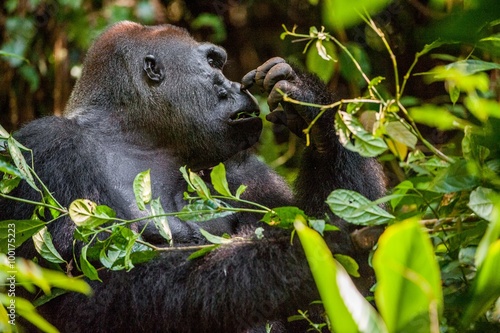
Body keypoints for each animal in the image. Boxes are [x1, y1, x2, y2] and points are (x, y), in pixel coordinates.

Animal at [0, 22, 384, 330]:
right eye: (213, 63)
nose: (236, 86)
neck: (141, 137)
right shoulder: (47, 148)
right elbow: (88, 293)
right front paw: (304, 253)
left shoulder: (244, 170)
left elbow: (344, 300)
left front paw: (309, 103)